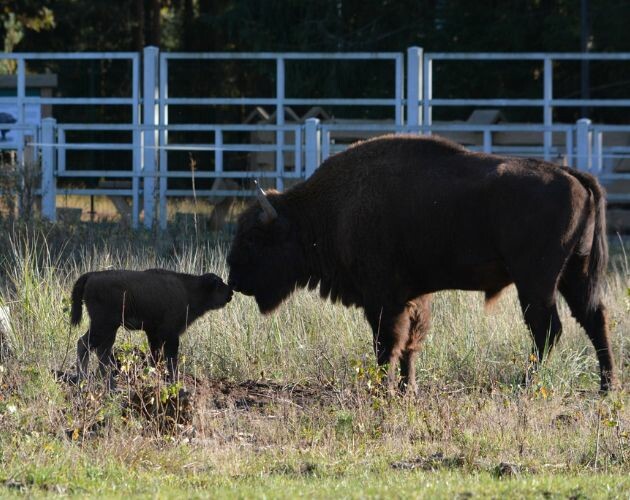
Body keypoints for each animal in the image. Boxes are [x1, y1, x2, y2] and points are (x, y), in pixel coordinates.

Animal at [71, 270, 233, 382]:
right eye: (219, 284)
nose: (230, 292)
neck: (189, 290)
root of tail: (92, 275)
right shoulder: (170, 335)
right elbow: (171, 359)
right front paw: (174, 379)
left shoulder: (154, 335)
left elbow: (156, 357)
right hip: (104, 326)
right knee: (87, 345)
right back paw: (88, 378)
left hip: (108, 329)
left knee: (97, 349)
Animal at [227, 135, 616, 392]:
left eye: (252, 238)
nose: (233, 279)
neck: (327, 210)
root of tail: (573, 175)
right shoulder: (412, 296)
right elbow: (410, 343)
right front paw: (407, 389)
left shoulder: (382, 297)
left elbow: (387, 343)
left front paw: (382, 388)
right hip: (574, 274)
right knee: (593, 319)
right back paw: (606, 386)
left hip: (536, 279)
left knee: (547, 329)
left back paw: (527, 384)